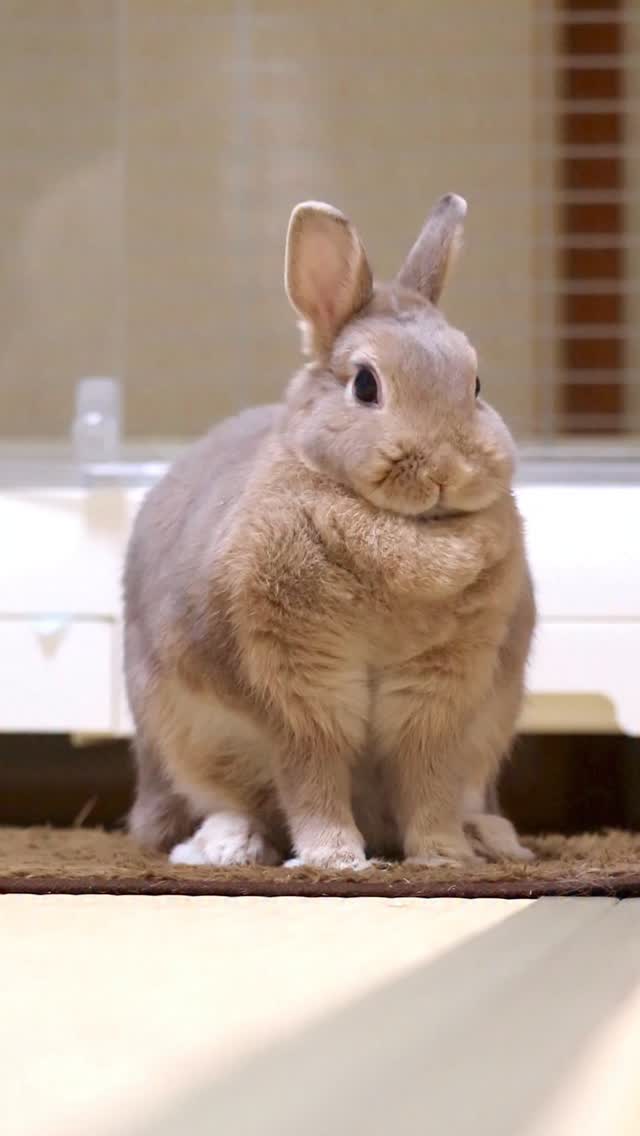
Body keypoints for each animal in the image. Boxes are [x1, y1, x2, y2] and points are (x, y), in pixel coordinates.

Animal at [124, 192, 535, 871]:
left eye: (476, 385)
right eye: (366, 384)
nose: (447, 471)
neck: (399, 530)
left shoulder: (441, 696)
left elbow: (428, 778)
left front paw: (443, 857)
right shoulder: (298, 682)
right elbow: (312, 771)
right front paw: (334, 859)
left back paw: (493, 839)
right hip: (183, 737)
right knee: (224, 800)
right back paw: (227, 847)